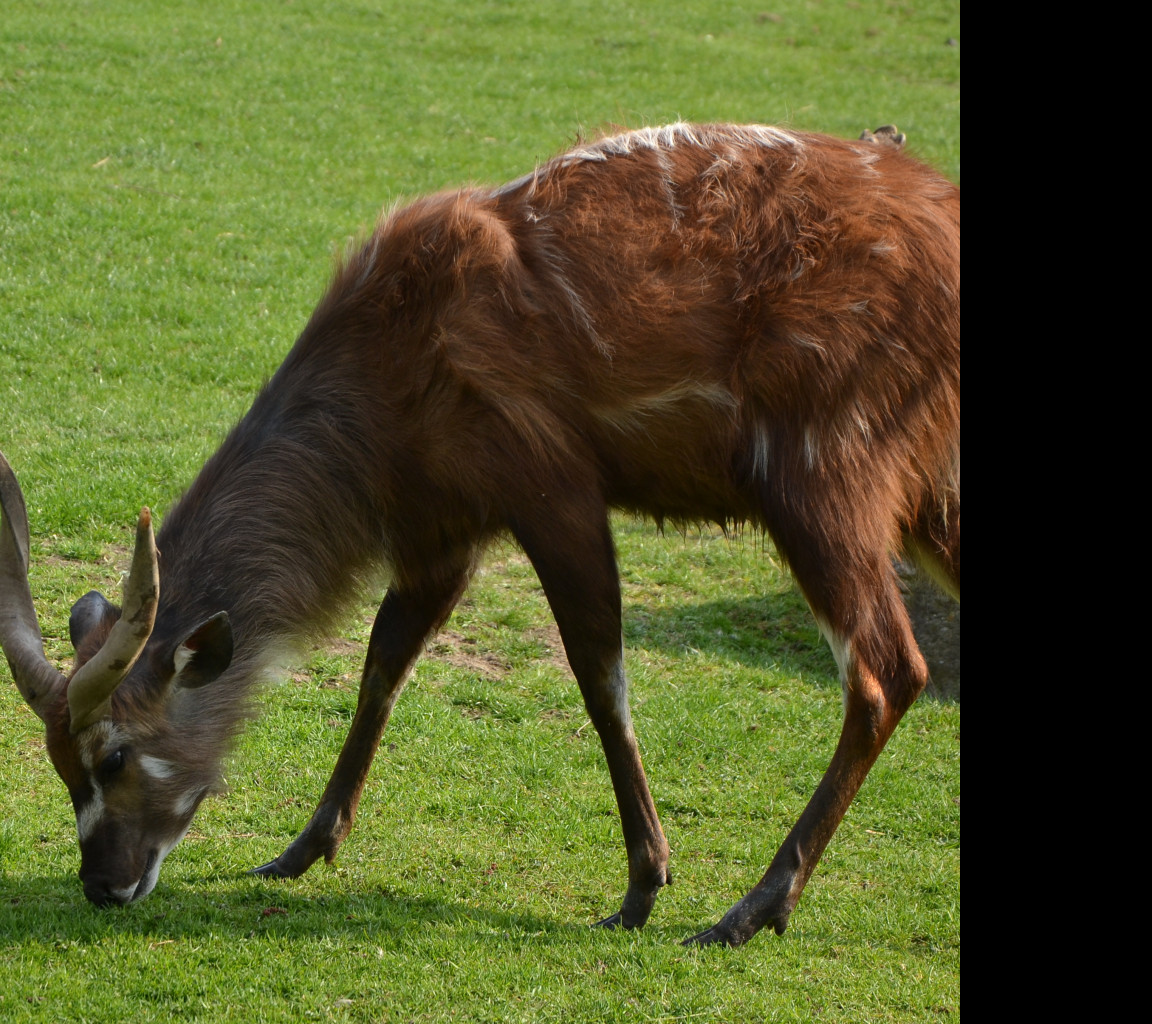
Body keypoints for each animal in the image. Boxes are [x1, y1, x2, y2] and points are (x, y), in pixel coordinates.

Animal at [0, 123, 958, 949]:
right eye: (58, 763)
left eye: (114, 754)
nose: (104, 883)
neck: (388, 373)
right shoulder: (444, 534)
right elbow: (382, 663)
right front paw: (299, 849)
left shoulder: (552, 489)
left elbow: (600, 677)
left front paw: (642, 888)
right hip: (922, 498)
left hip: (822, 475)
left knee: (887, 670)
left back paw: (747, 911)